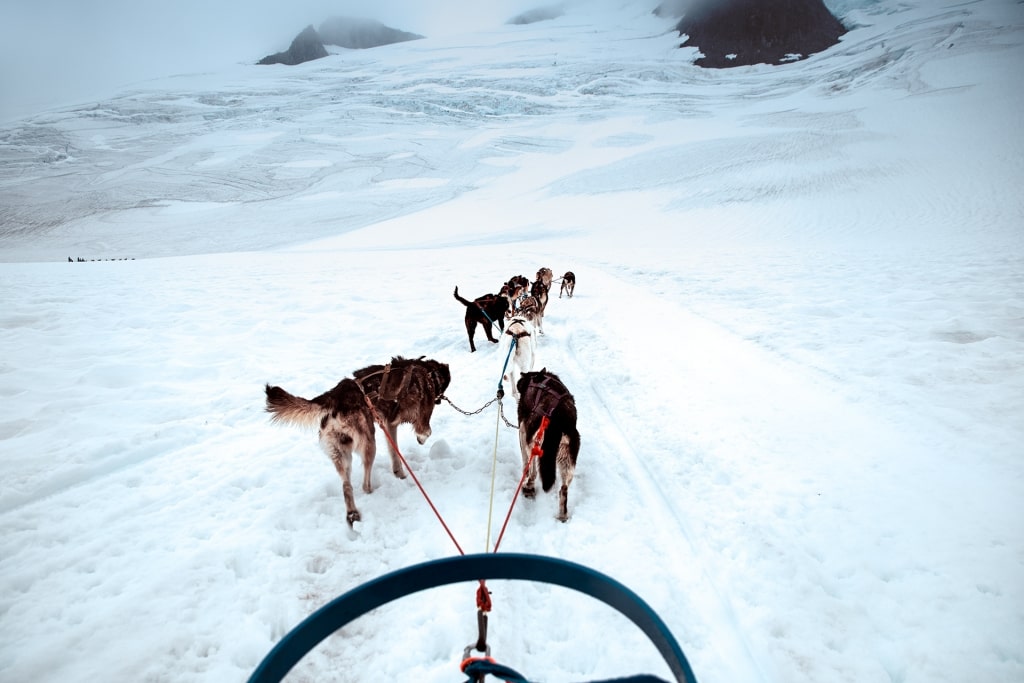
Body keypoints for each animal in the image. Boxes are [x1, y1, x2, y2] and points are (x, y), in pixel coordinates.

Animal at [266, 376, 378, 528]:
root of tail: (333, 398)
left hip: (339, 454)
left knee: (346, 487)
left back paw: (352, 514)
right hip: (369, 446)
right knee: (364, 482)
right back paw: (368, 494)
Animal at [516, 368, 581, 524]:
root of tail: (559, 419)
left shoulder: (523, 431)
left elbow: (526, 464)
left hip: (535, 444)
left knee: (533, 471)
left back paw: (528, 487)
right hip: (567, 459)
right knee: (563, 489)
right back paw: (562, 516)